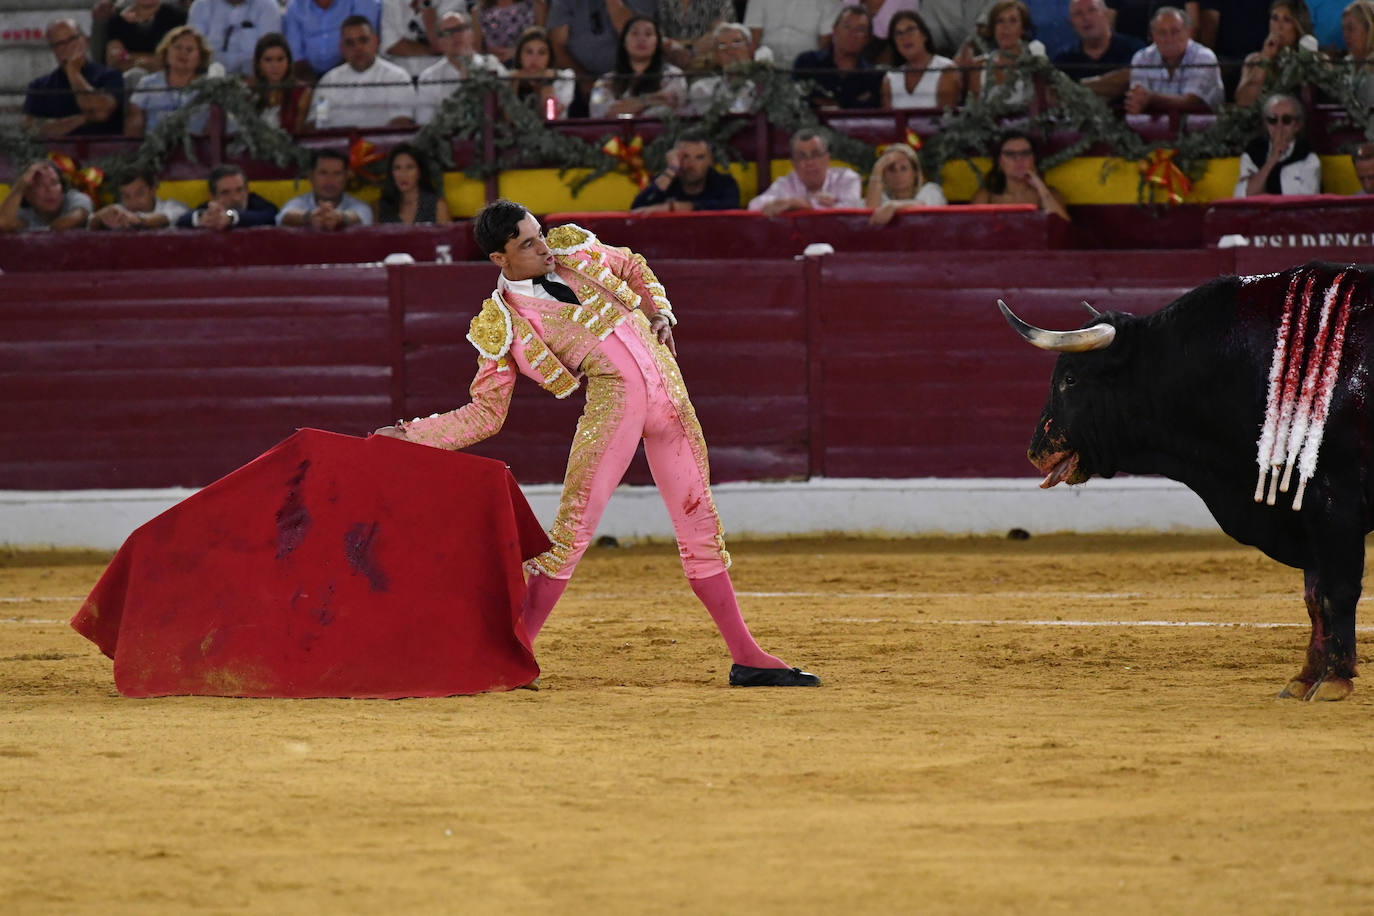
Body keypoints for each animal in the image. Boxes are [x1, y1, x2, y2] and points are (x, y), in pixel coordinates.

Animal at [1005, 260, 1368, 708]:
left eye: (1070, 379)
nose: (1034, 452)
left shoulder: (1335, 502)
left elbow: (1338, 590)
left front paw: (1334, 680)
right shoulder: (1303, 512)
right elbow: (1315, 597)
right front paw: (1305, 679)